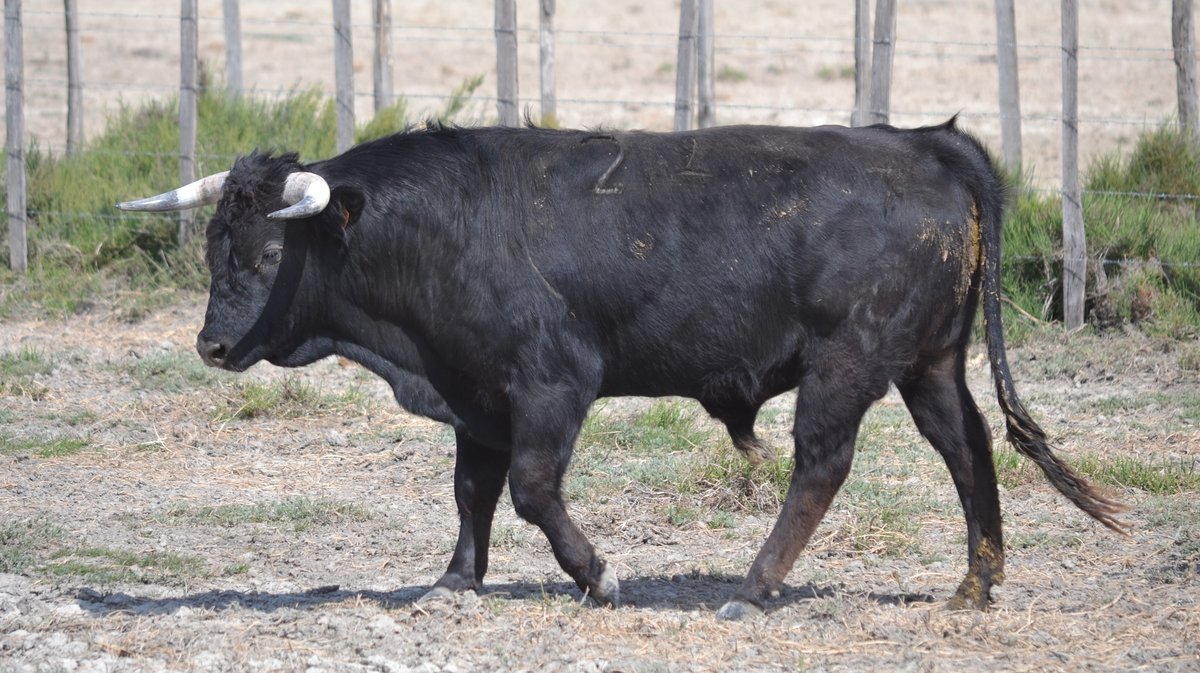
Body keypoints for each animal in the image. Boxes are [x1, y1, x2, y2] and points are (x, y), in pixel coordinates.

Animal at [119, 118, 1123, 619]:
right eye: (213, 246)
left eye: (262, 256)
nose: (211, 345)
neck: (442, 223)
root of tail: (926, 141)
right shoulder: (475, 390)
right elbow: (472, 488)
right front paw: (454, 580)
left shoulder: (551, 383)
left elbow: (530, 488)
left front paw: (597, 574)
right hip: (929, 361)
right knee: (968, 447)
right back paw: (976, 583)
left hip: (849, 361)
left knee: (822, 466)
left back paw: (754, 587)